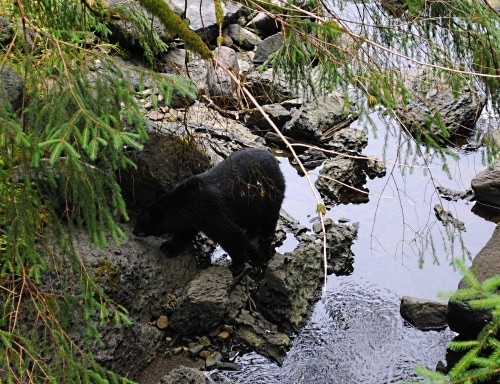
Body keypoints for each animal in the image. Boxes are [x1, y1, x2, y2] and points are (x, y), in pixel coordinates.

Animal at [134, 146, 286, 272]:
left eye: (141, 221)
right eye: (139, 218)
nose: (133, 231)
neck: (188, 205)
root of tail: (273, 159)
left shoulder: (210, 209)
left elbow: (232, 235)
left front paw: (236, 266)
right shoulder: (192, 218)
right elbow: (184, 232)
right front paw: (169, 247)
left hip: (269, 190)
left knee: (270, 214)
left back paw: (265, 235)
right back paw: (251, 232)